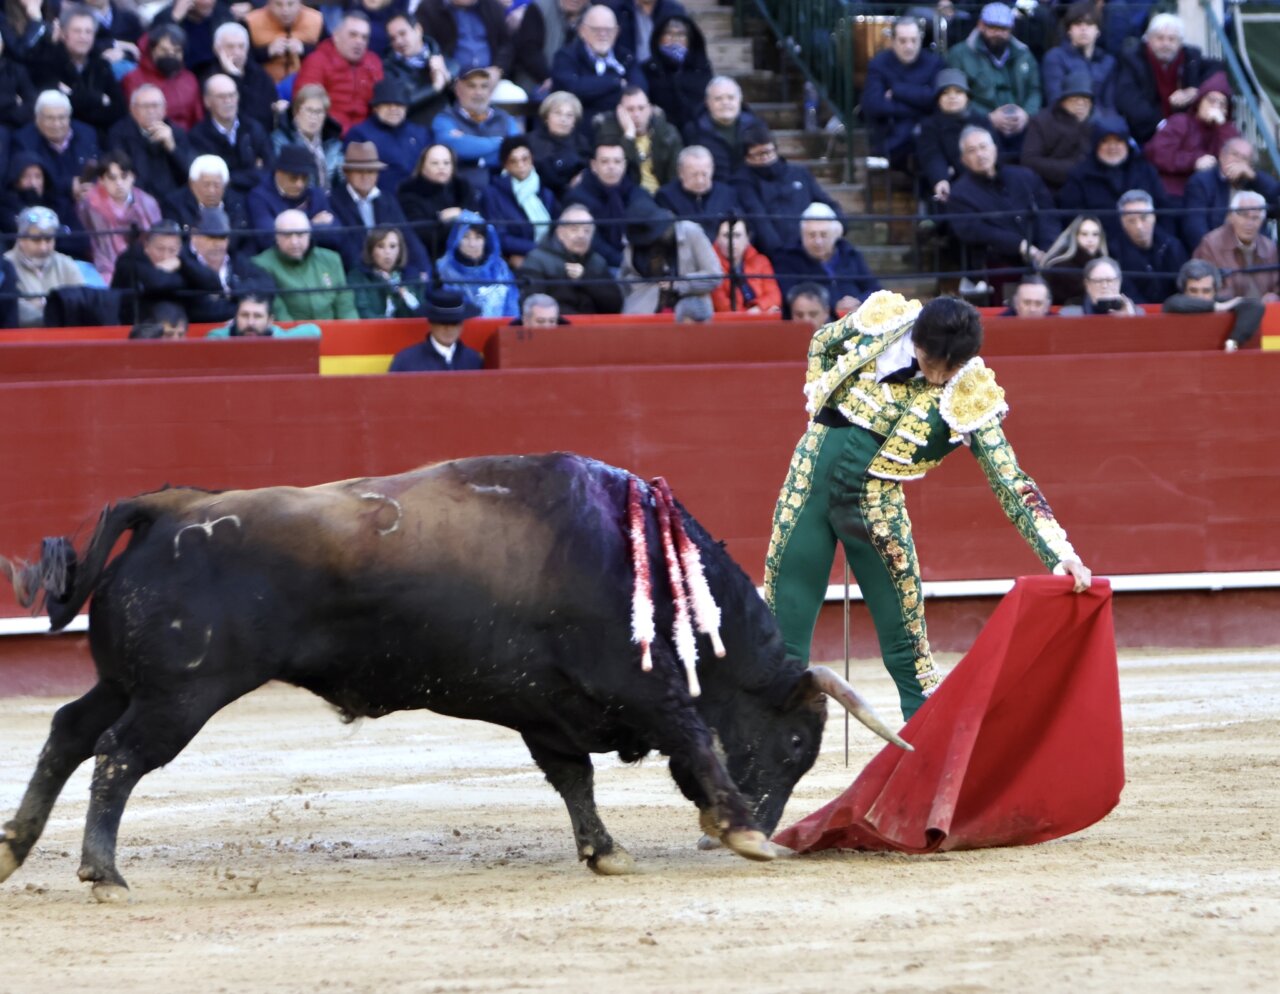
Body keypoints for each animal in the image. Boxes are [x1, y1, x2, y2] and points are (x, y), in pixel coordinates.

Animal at [0, 453, 907, 902]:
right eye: (794, 744)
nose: (773, 820)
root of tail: (175, 507)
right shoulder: (647, 691)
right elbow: (696, 739)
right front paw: (743, 832)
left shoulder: (545, 709)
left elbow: (573, 780)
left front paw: (606, 853)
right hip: (181, 695)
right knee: (118, 755)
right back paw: (104, 874)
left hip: (131, 681)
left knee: (69, 732)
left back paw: (14, 849)